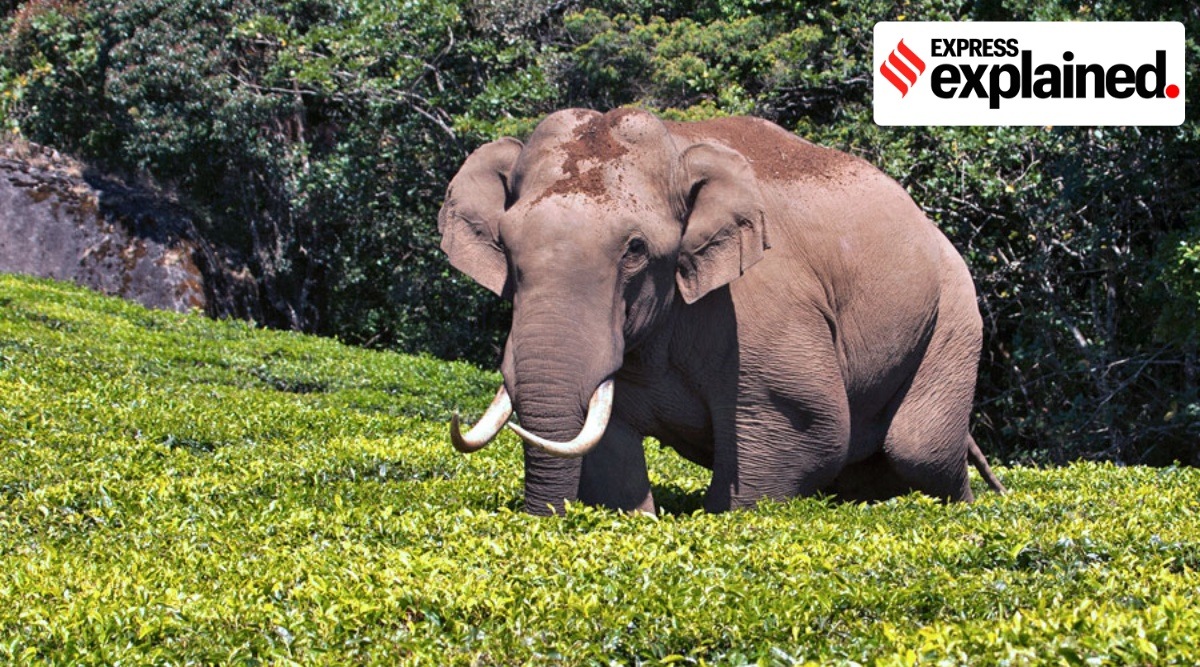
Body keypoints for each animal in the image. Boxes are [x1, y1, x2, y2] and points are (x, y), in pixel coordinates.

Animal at [438, 107, 1005, 515]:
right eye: (506, 245)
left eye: (636, 249)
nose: (542, 521)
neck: (678, 145)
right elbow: (609, 446)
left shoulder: (763, 306)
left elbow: (807, 426)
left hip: (955, 313)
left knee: (918, 448)